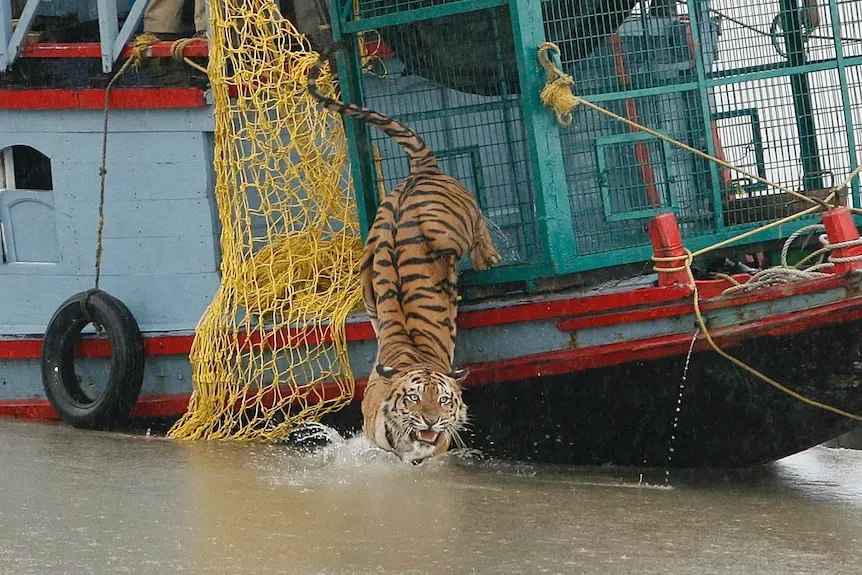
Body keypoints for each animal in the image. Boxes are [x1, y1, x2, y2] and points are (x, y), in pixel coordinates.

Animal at [308, 40, 500, 464]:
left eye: (444, 400)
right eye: (413, 399)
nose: (430, 421)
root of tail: (420, 170)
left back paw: (488, 260)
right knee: (478, 227)